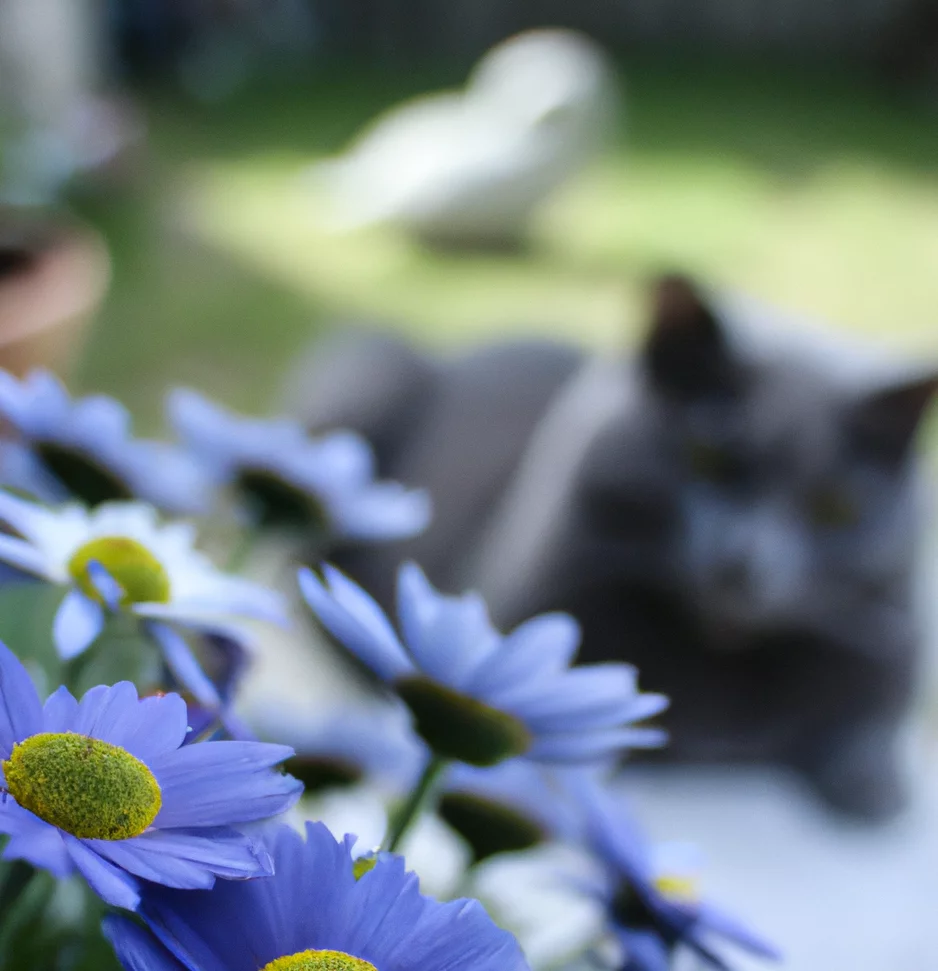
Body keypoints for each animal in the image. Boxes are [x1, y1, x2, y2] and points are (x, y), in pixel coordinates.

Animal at [290, 278, 936, 824]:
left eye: (835, 508)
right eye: (707, 457)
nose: (743, 562)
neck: (719, 660)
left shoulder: (890, 640)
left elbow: (872, 720)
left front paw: (874, 789)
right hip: (365, 369)